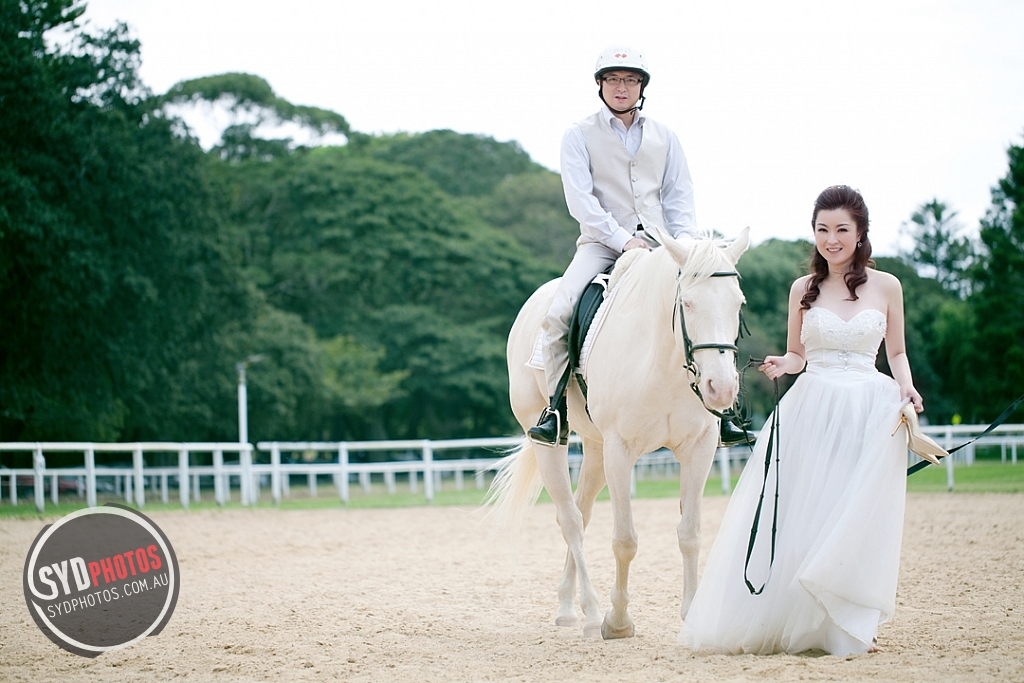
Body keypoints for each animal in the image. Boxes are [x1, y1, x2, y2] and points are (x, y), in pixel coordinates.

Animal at [486, 227, 749, 639]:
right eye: (687, 303)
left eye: (738, 304)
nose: (720, 388)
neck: (664, 360)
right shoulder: (621, 450)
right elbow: (625, 540)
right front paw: (619, 621)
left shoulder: (699, 448)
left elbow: (690, 533)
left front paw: (691, 614)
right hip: (553, 443)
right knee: (570, 520)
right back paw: (592, 614)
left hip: (595, 450)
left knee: (580, 513)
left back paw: (569, 608)